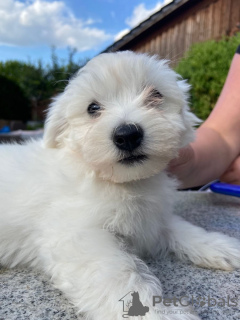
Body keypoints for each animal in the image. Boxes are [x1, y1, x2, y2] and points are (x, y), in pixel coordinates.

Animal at [0, 51, 240, 318]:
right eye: (92, 108)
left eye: (156, 95)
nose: (127, 135)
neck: (122, 182)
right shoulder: (78, 236)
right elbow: (118, 275)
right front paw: (159, 313)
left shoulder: (150, 218)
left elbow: (181, 228)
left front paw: (222, 247)